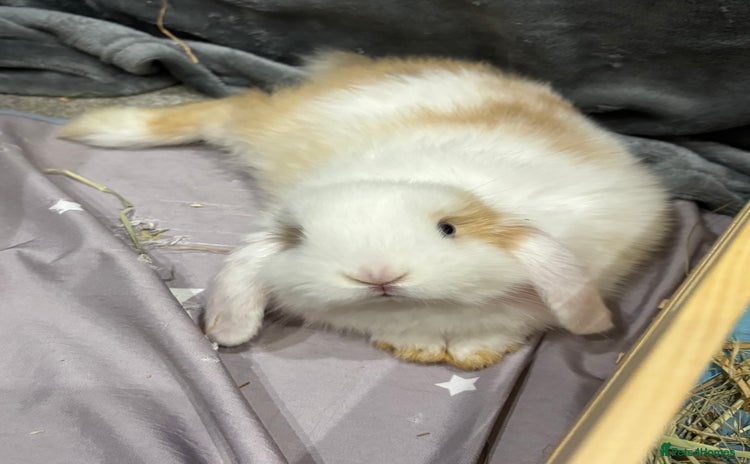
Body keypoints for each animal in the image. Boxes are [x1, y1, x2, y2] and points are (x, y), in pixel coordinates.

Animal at [58, 51, 671, 370]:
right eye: (299, 238)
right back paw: (97, 128)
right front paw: (417, 350)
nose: (377, 274)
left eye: (448, 228)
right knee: (225, 109)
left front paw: (471, 355)